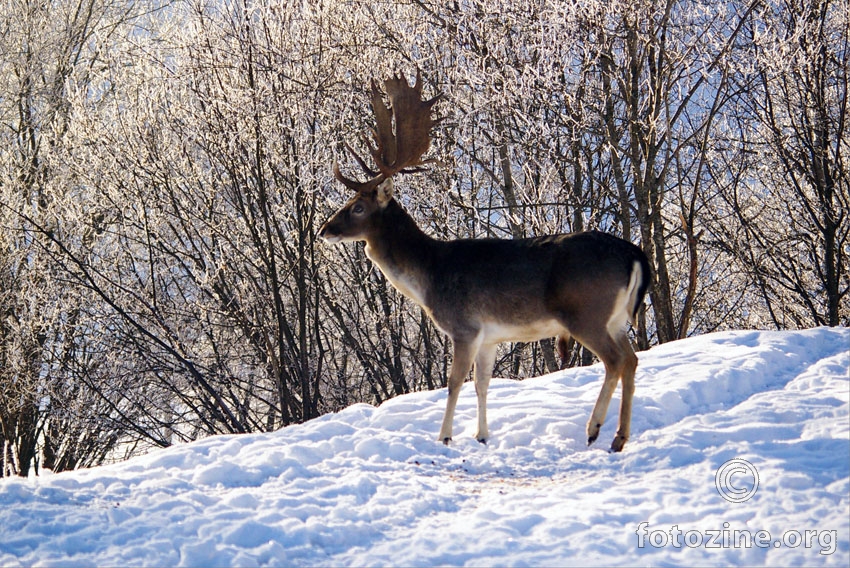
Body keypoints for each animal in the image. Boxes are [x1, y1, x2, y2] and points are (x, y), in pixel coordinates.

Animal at [318, 72, 648, 452]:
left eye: (358, 207)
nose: (325, 230)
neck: (430, 276)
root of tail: (635, 254)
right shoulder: (489, 337)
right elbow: (482, 383)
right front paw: (482, 435)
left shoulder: (465, 327)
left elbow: (454, 382)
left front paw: (444, 437)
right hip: (616, 318)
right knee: (632, 359)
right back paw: (619, 437)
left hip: (586, 312)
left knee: (616, 360)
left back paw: (595, 429)